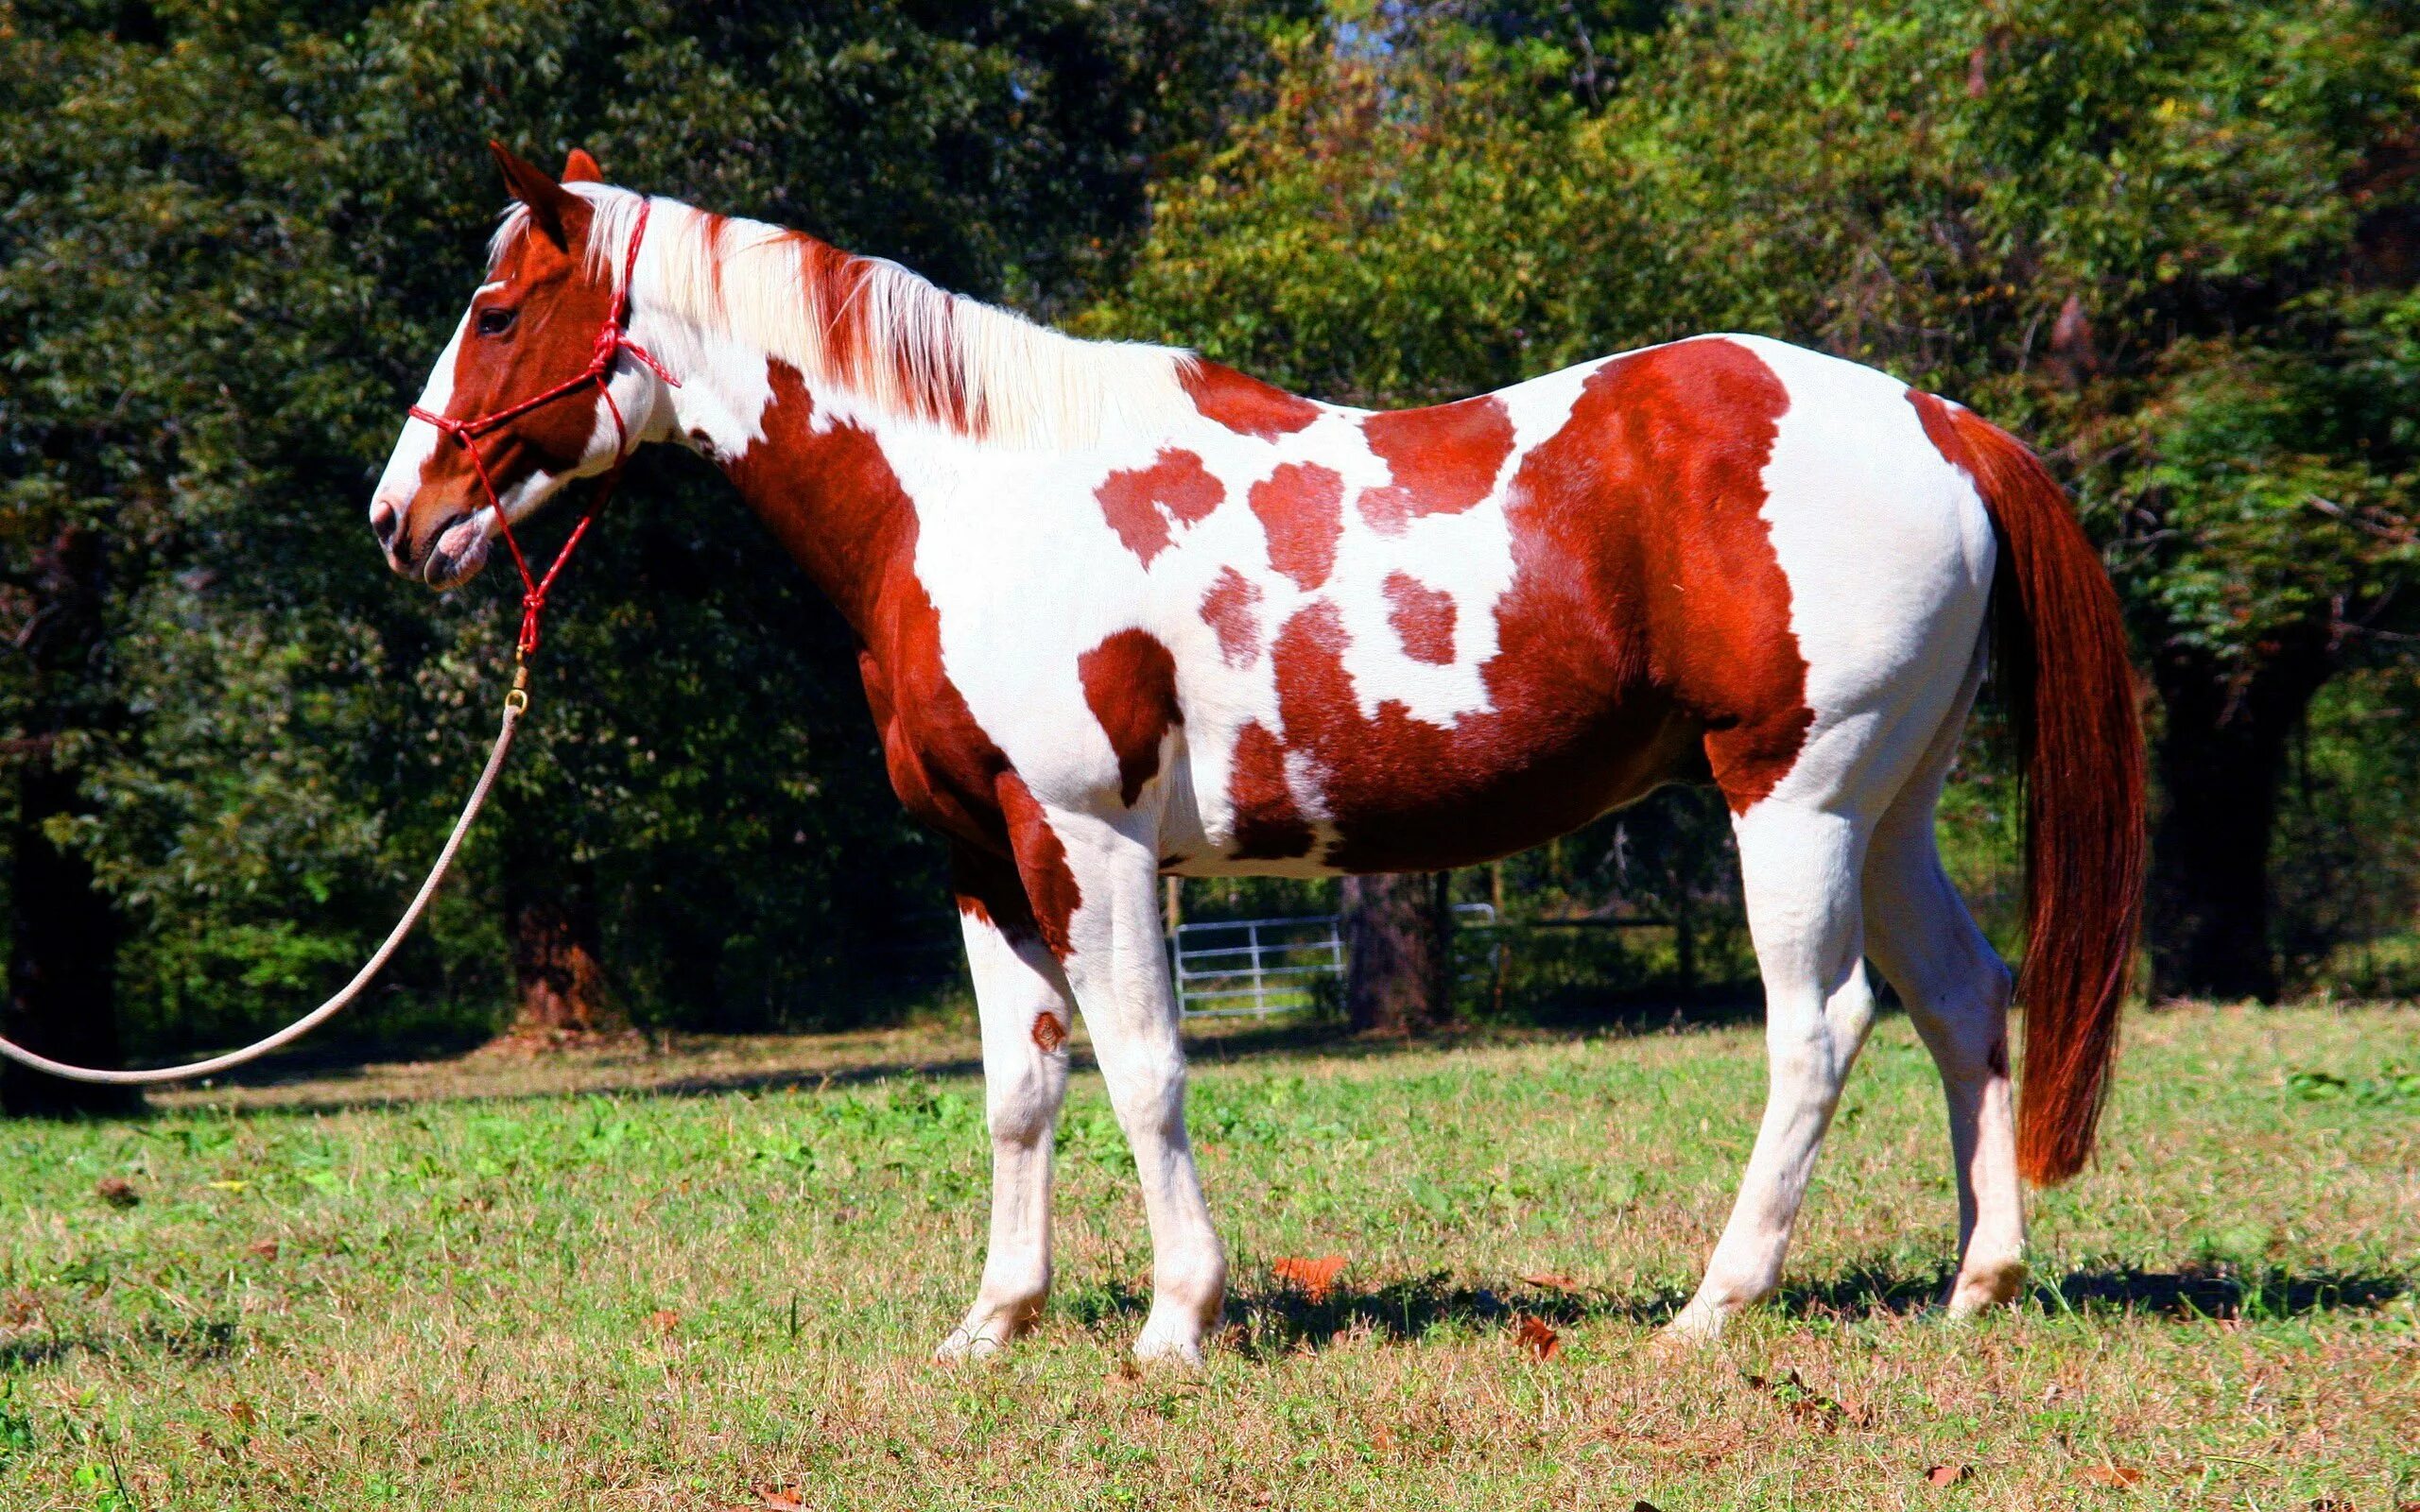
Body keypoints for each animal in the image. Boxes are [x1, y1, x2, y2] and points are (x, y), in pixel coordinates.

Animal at [372, 147, 2139, 1364]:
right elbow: (1022, 1085)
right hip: (1888, 807)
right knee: (1964, 1000)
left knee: (1820, 1026)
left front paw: (1178, 1321)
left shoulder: (1089, 843)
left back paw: (1716, 1303)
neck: (969, 497)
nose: (401, 519)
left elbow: (1145, 1068)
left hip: (1796, 797)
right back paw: (1979, 1285)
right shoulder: (978, 858)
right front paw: (994, 1323)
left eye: (495, 310)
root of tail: (1934, 416)